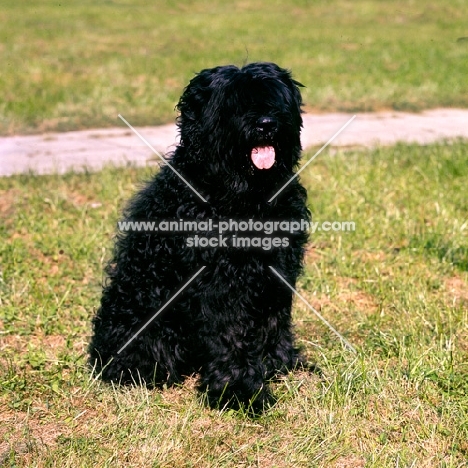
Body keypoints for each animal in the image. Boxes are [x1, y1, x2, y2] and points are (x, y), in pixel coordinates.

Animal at [90, 63, 312, 414]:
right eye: (233, 102)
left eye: (275, 98)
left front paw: (279, 363)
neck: (240, 195)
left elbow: (274, 322)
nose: (266, 124)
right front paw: (239, 391)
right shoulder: (220, 281)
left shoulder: (276, 268)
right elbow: (231, 335)